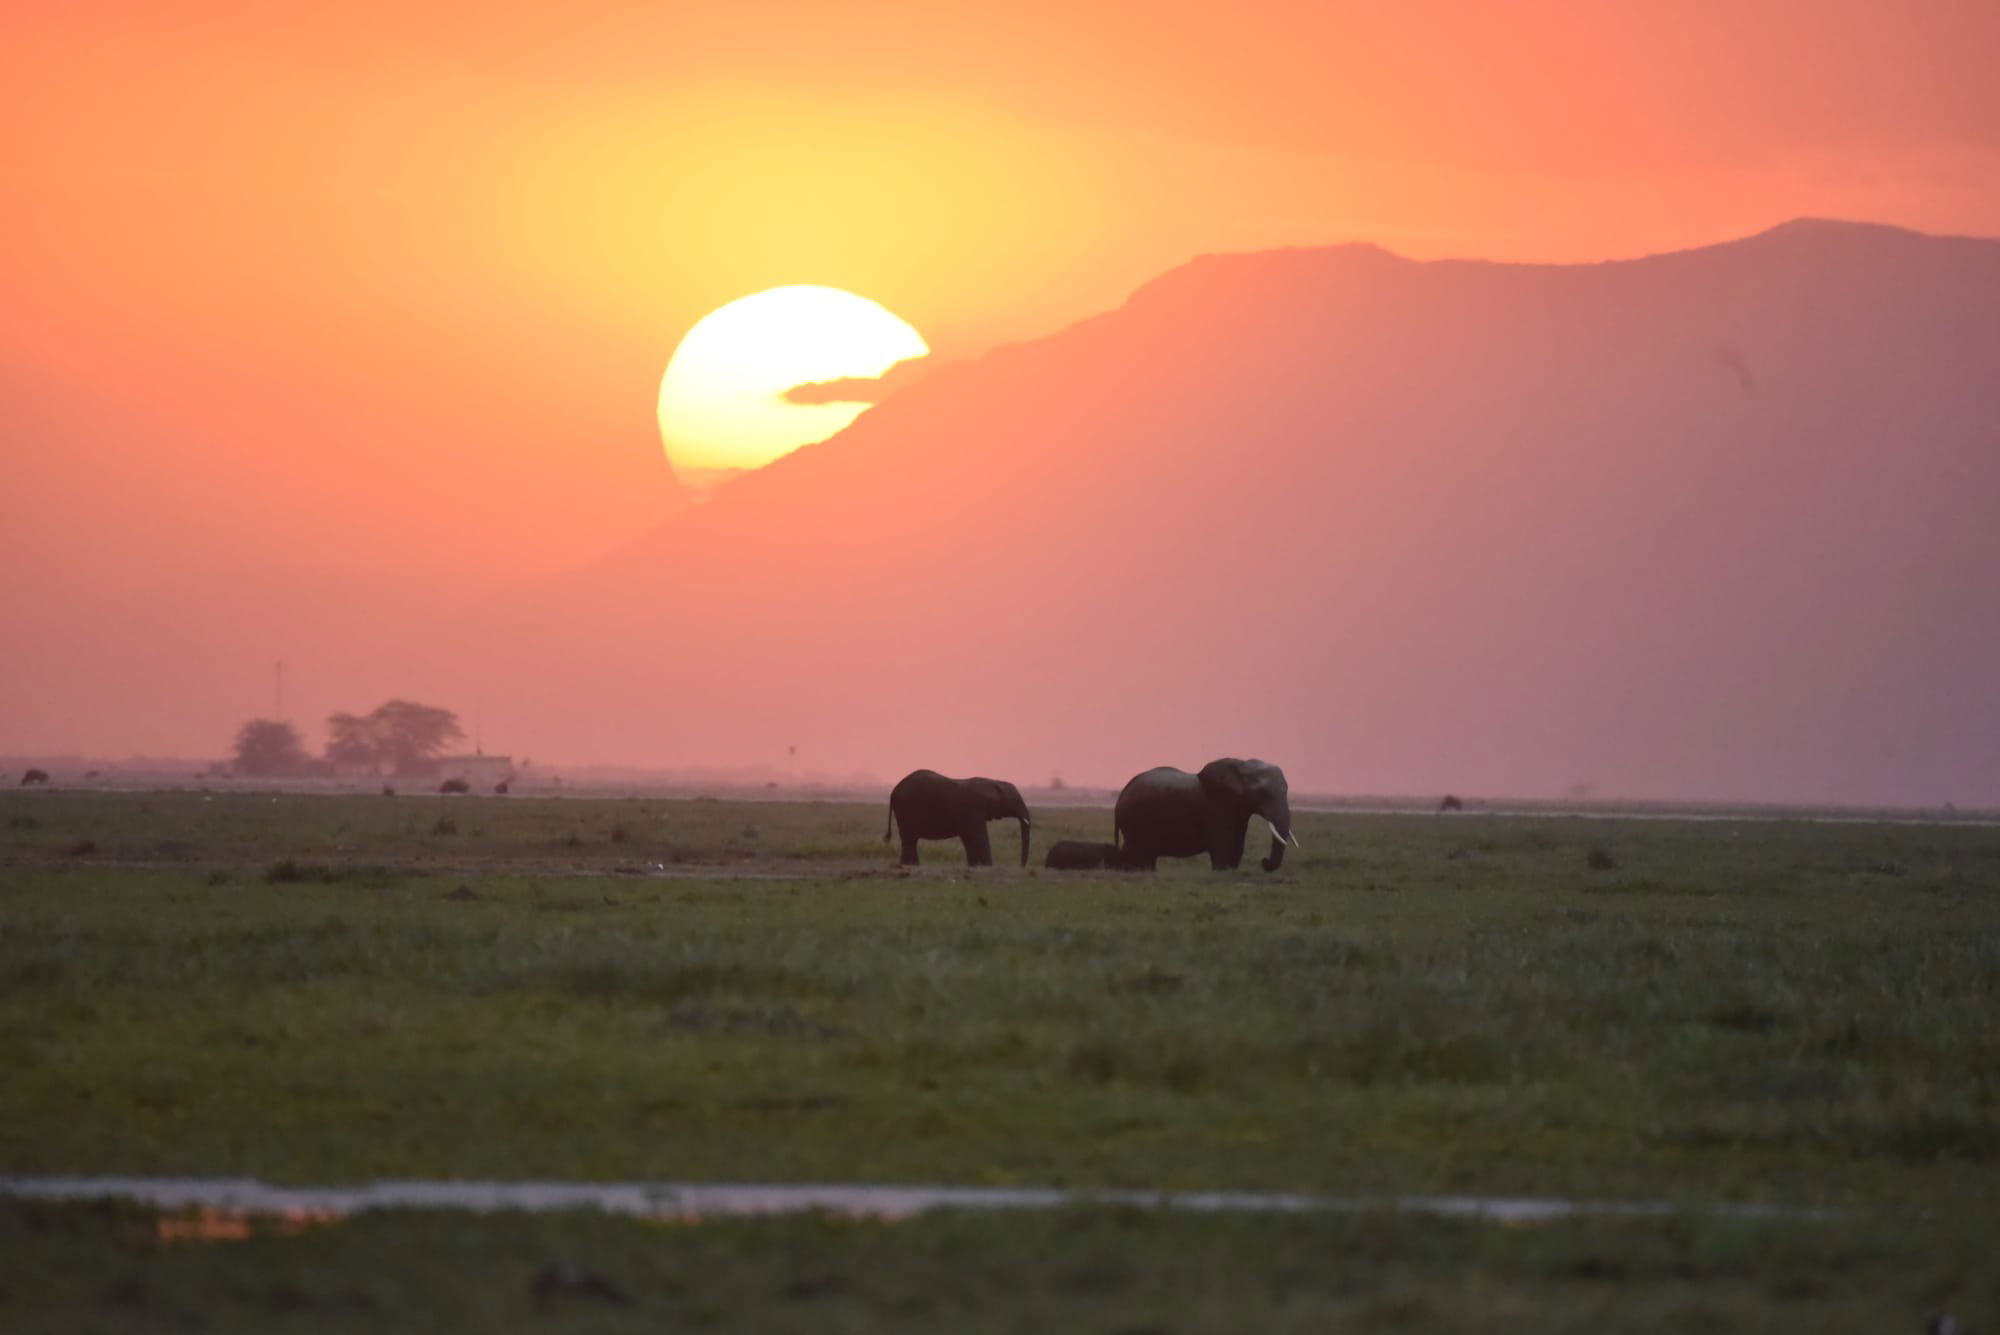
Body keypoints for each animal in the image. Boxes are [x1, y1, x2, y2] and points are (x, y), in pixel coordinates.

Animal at [884, 767, 1032, 871]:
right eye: (1015, 800)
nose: (1021, 866)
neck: (993, 781)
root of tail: (893, 792)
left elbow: (968, 838)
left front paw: (974, 866)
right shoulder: (974, 808)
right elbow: (979, 836)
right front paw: (987, 867)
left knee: (910, 840)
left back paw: (911, 866)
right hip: (907, 809)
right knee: (909, 839)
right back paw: (909, 866)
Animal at [1112, 755, 1296, 871]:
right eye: (1263, 793)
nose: (1264, 861)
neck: (1241, 765)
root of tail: (1120, 799)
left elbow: (1236, 849)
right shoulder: (1218, 807)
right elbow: (1223, 851)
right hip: (1136, 820)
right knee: (1136, 852)